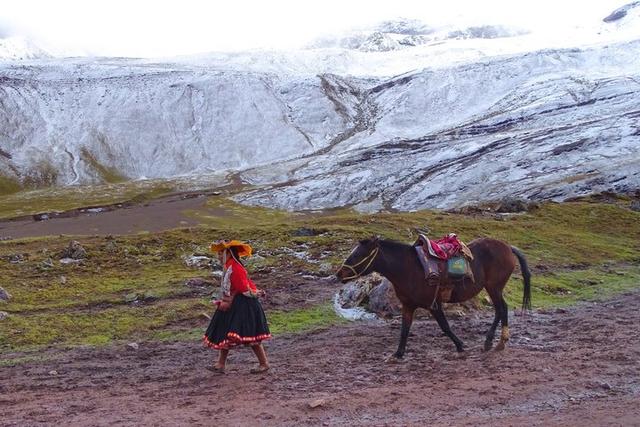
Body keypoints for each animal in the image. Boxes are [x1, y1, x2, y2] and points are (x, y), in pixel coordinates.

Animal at [338, 237, 532, 358]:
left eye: (358, 254)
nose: (340, 274)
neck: (408, 268)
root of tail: (508, 247)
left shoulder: (433, 305)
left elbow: (445, 326)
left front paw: (460, 346)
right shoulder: (408, 306)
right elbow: (404, 329)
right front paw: (398, 354)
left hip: (494, 287)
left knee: (502, 308)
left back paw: (499, 342)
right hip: (493, 288)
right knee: (500, 309)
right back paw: (490, 342)